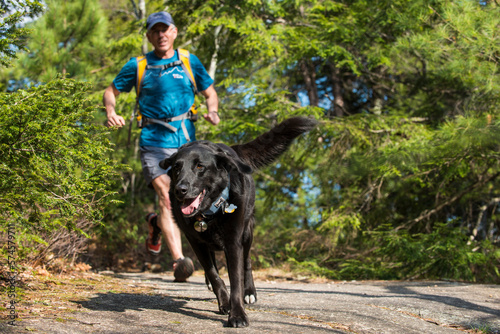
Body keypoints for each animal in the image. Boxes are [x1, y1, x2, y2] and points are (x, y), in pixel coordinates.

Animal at [159, 117, 316, 326]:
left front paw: (238, 314)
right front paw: (224, 302)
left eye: (200, 167)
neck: (210, 211)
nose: (180, 190)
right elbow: (214, 274)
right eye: (177, 167)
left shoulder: (234, 241)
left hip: (247, 233)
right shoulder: (195, 241)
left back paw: (249, 292)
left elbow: (236, 279)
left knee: (247, 262)